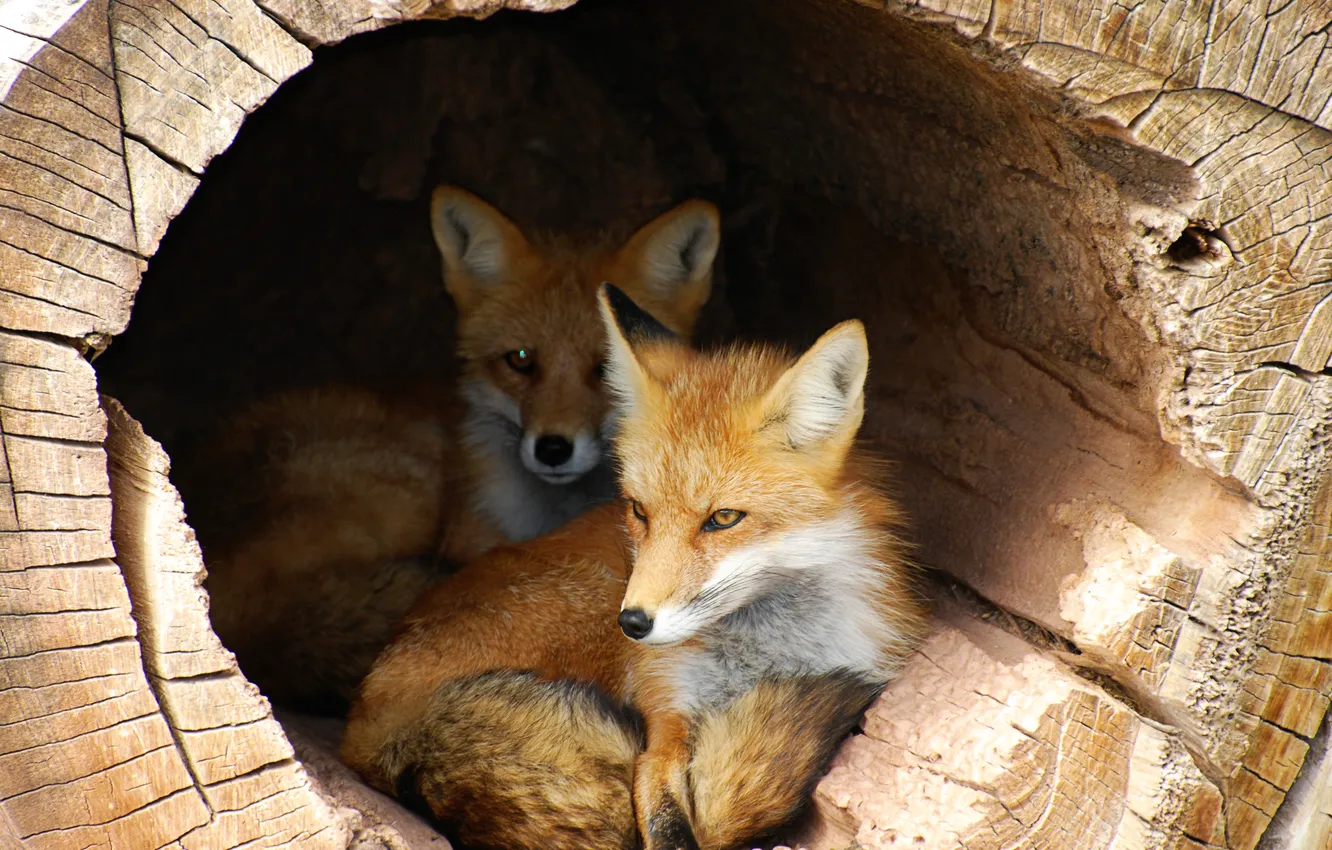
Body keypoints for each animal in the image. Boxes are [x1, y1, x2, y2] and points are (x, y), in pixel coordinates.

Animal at [340, 284, 930, 850]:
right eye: (640, 510)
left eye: (723, 518)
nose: (633, 624)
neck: (764, 660)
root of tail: (369, 714)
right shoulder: (664, 719)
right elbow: (668, 823)